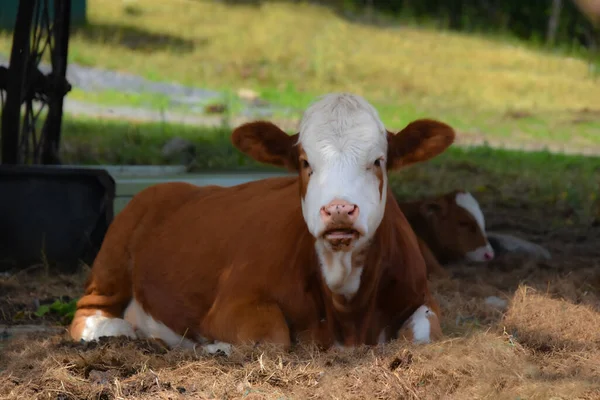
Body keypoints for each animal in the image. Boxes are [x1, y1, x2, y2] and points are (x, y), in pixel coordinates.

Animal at [69, 93, 454, 354]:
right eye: (304, 162)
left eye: (378, 161)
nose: (339, 209)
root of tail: (173, 186)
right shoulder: (230, 304)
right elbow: (272, 336)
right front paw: (214, 347)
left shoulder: (422, 296)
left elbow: (423, 333)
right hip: (113, 260)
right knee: (88, 312)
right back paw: (119, 331)